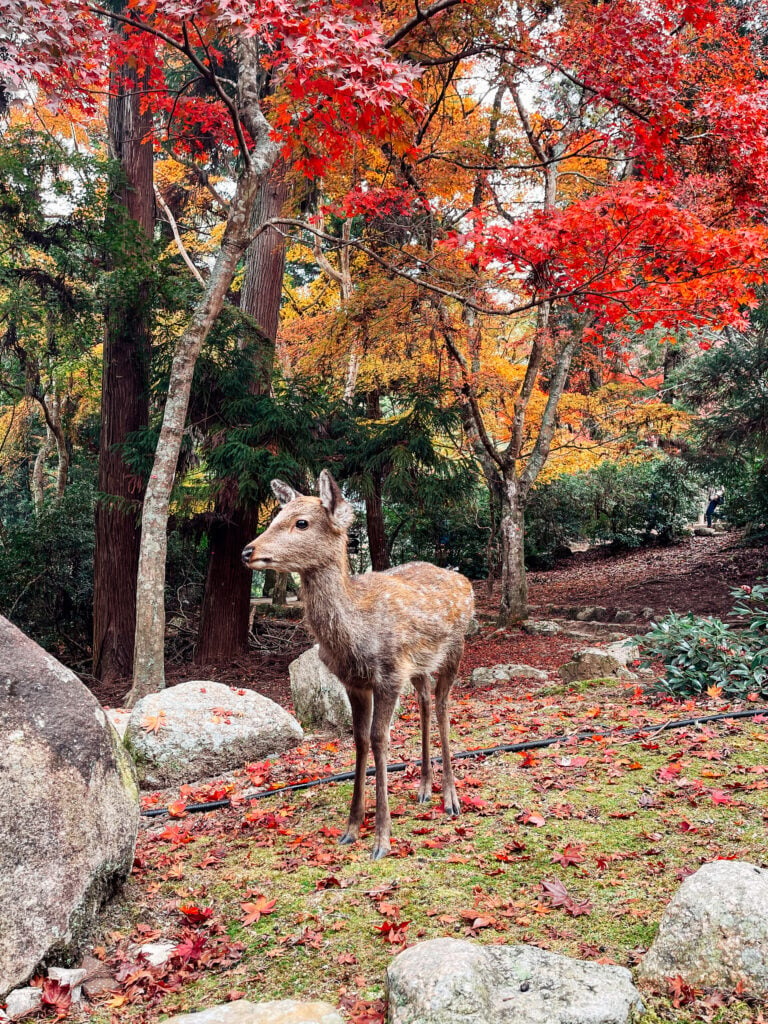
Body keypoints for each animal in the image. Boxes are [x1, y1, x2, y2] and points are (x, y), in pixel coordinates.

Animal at [243, 475, 479, 860]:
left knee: (444, 706)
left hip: (455, 648)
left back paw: (450, 798)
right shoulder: (353, 682)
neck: (355, 634)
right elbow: (359, 739)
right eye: (276, 516)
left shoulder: (389, 674)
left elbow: (380, 739)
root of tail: (465, 580)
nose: (247, 551)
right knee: (426, 702)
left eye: (301, 522)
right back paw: (424, 787)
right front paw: (352, 828)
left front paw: (382, 839)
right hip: (418, 666)